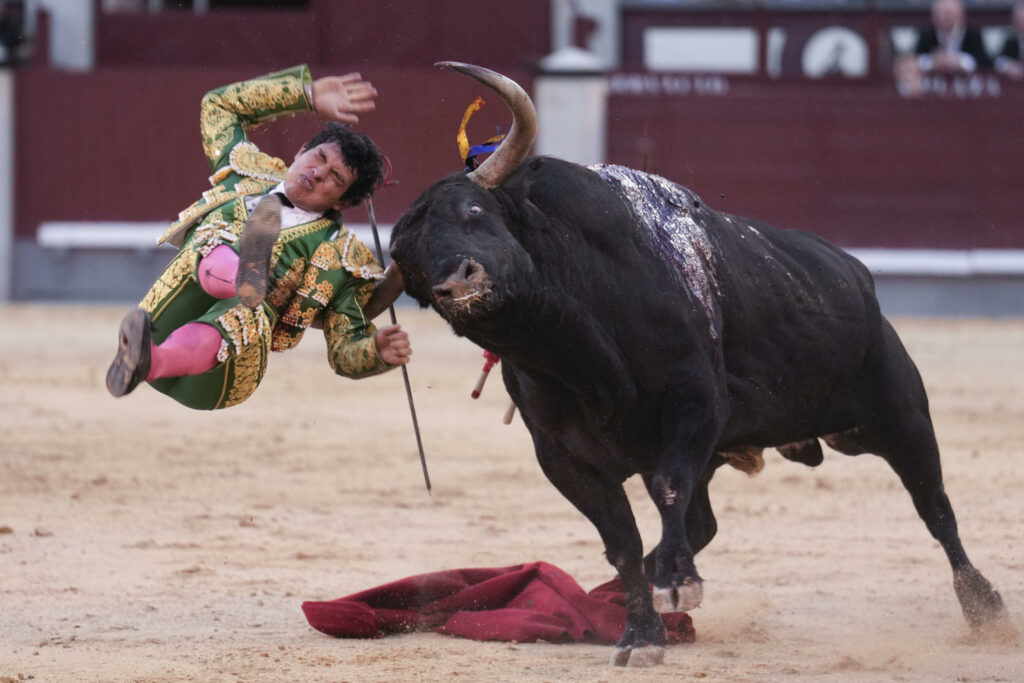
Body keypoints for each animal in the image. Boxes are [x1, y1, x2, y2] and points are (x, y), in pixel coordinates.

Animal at [385, 65, 1007, 667]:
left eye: (475, 211)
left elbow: (666, 489)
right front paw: (641, 631)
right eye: (410, 266)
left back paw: (985, 607)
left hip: (899, 413)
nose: (456, 282)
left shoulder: (695, 405)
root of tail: (857, 274)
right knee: (702, 520)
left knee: (935, 506)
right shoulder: (563, 459)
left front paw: (677, 584)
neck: (581, 354)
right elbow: (622, 541)